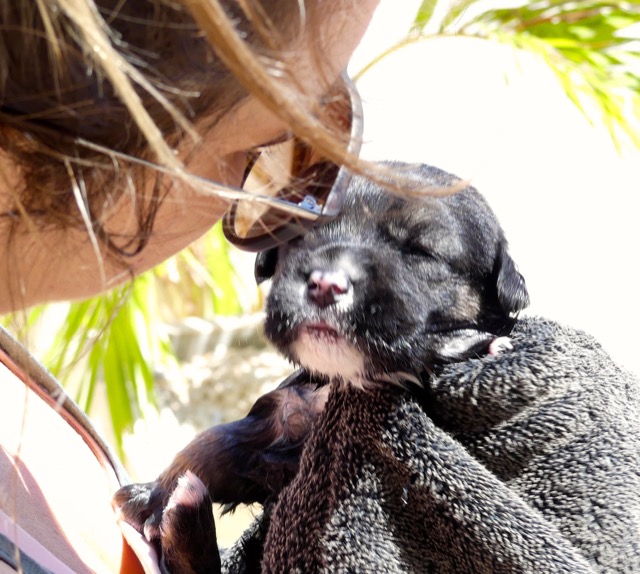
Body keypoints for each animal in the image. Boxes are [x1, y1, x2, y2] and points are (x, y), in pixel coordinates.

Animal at [114, 162, 528, 572]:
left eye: (421, 252)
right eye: (302, 236)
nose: (326, 283)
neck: (341, 381)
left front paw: (470, 343)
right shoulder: (276, 417)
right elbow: (209, 445)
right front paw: (153, 497)